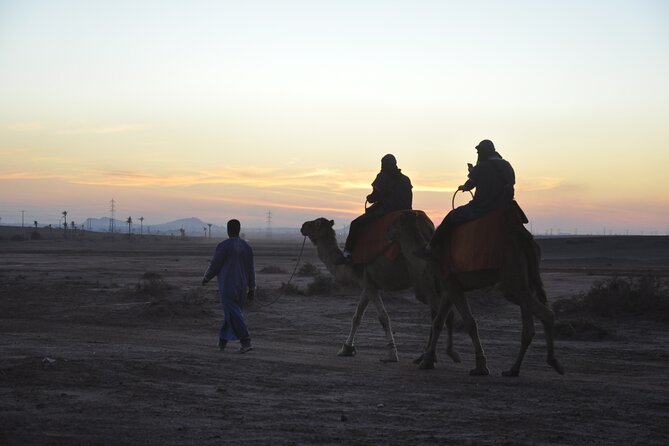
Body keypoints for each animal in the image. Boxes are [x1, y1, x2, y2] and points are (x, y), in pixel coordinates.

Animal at [298, 213, 460, 366]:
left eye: (315, 223)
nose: (303, 226)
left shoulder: (369, 284)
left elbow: (383, 317)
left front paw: (392, 354)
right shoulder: (368, 283)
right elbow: (357, 317)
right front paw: (347, 348)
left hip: (423, 280)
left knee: (443, 313)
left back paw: (438, 356)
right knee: (439, 314)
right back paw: (426, 356)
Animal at [392, 211, 564, 378]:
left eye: (396, 223)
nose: (389, 232)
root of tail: (525, 238)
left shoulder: (451, 285)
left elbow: (469, 322)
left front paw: (481, 367)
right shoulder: (449, 287)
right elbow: (438, 322)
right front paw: (427, 361)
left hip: (512, 277)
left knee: (545, 314)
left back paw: (553, 361)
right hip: (526, 280)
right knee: (528, 326)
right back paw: (513, 370)